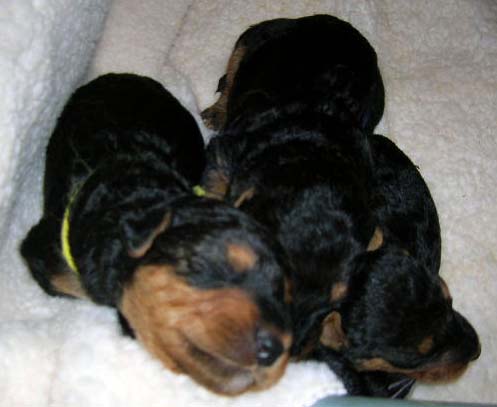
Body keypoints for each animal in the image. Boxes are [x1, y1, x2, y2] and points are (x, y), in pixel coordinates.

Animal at [200, 15, 480, 397]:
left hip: (376, 97)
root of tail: (336, 23)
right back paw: (217, 109)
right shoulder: (224, 155)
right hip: (256, 35)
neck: (311, 157)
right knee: (234, 69)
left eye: (331, 304)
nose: (294, 349)